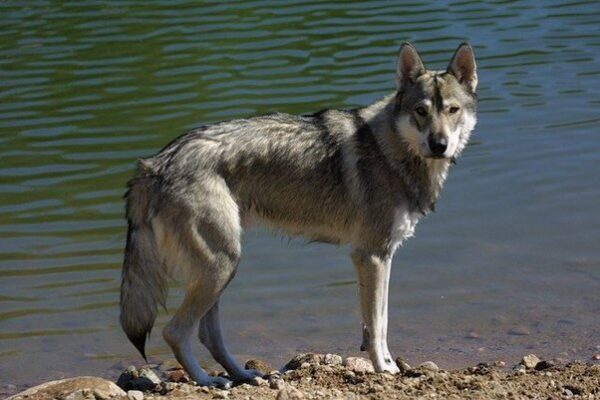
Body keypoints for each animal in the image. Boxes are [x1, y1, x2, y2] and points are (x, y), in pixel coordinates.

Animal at [120, 41, 478, 388]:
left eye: (452, 110)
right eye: (421, 111)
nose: (439, 144)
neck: (392, 150)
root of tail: (154, 164)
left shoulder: (383, 255)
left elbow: (381, 320)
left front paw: (389, 365)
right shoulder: (371, 255)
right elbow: (376, 325)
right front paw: (385, 370)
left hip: (218, 272)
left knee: (209, 336)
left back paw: (244, 376)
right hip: (220, 268)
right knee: (175, 331)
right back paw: (208, 381)